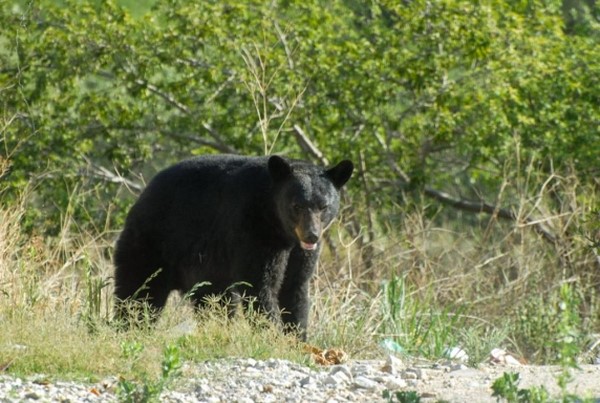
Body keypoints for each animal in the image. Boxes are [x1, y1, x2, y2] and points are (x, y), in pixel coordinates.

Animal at [113, 155, 352, 340]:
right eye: (297, 205)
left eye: (323, 206)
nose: (312, 234)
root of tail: (143, 195)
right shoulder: (252, 230)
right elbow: (260, 285)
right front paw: (272, 335)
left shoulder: (299, 252)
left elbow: (295, 287)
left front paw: (297, 338)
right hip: (153, 244)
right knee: (139, 292)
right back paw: (130, 328)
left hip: (206, 271)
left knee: (215, 302)